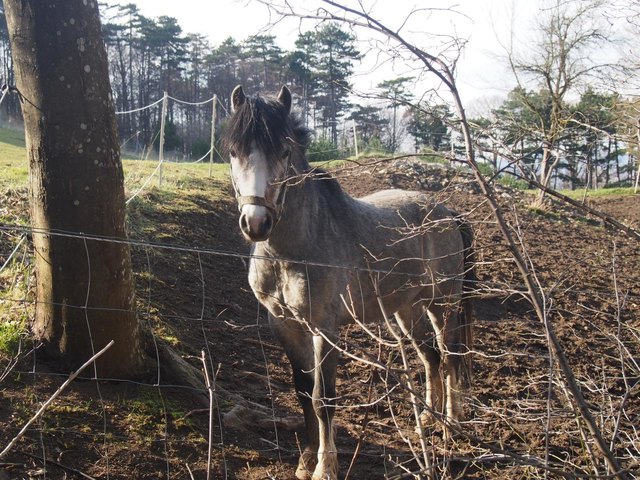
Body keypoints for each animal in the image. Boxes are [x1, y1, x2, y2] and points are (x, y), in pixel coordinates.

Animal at [223, 85, 474, 480]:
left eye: (284, 151)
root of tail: (447, 212)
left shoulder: (324, 329)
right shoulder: (284, 325)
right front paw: (306, 460)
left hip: (443, 305)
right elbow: (302, 391)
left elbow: (322, 397)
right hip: (407, 309)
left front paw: (325, 467)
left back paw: (451, 424)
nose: (256, 222)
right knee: (430, 357)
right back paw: (427, 418)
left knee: (450, 358)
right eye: (234, 152)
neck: (292, 250)